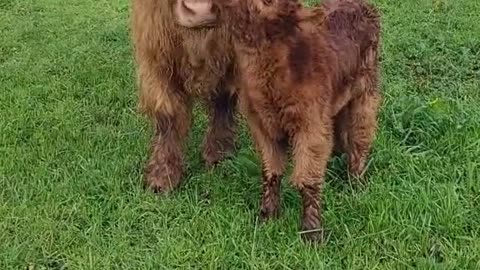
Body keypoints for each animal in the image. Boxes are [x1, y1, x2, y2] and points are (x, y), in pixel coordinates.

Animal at [131, 0, 238, 192]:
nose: (200, 12)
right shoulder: (155, 49)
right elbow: (167, 113)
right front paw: (163, 175)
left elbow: (223, 99)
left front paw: (219, 152)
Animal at [214, 0, 382, 243]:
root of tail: (364, 6)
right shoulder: (264, 127)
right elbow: (271, 170)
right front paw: (267, 217)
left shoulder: (310, 124)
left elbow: (307, 177)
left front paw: (312, 232)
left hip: (365, 90)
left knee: (360, 136)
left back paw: (356, 185)